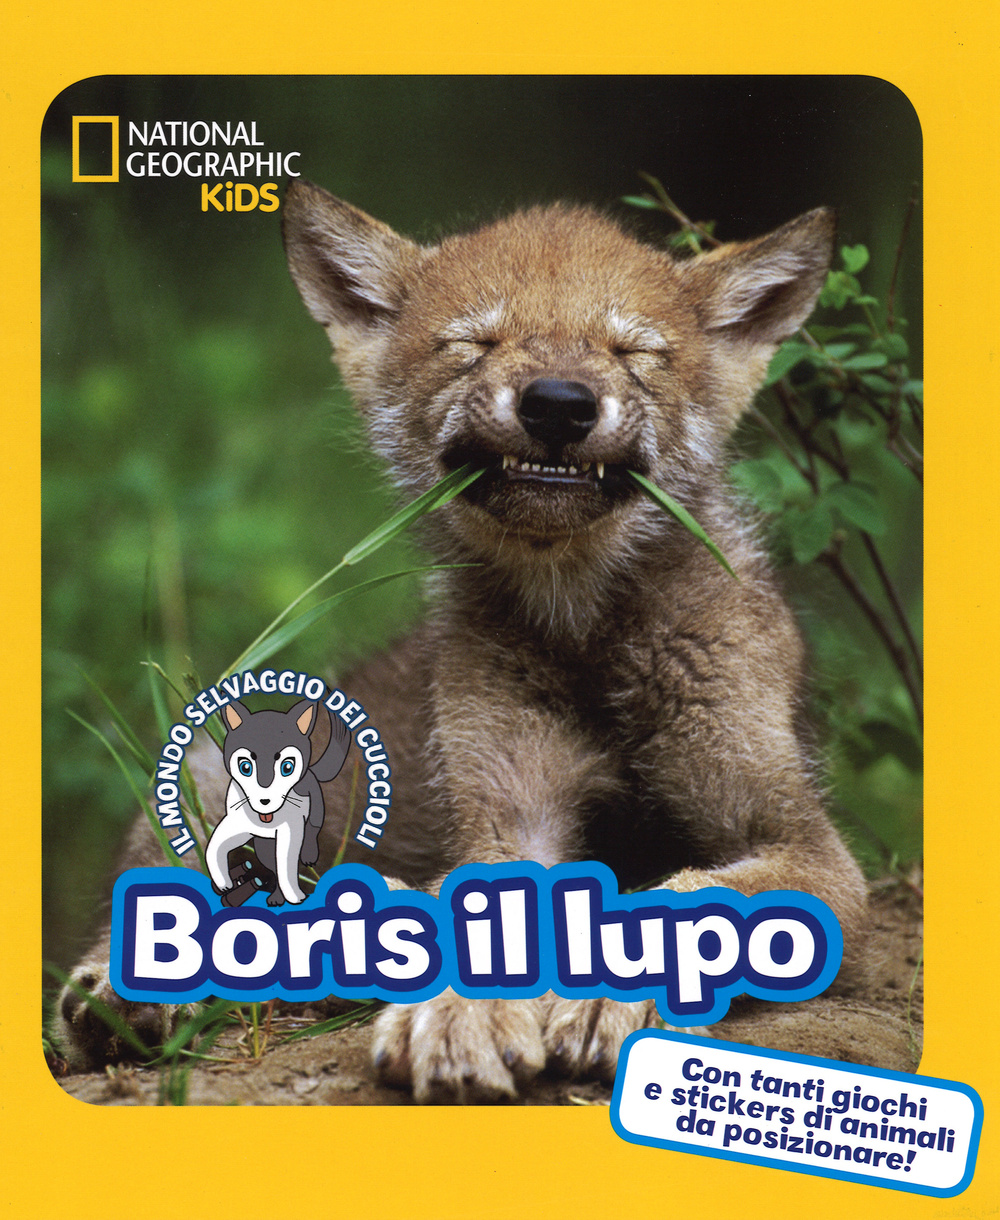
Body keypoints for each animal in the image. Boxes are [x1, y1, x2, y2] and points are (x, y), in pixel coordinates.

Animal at [55, 181, 867, 1101]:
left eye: (631, 352)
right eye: (476, 345)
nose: (558, 402)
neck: (581, 631)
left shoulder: (803, 840)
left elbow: (689, 895)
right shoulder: (507, 820)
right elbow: (489, 916)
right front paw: (460, 1018)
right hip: (199, 780)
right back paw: (129, 998)